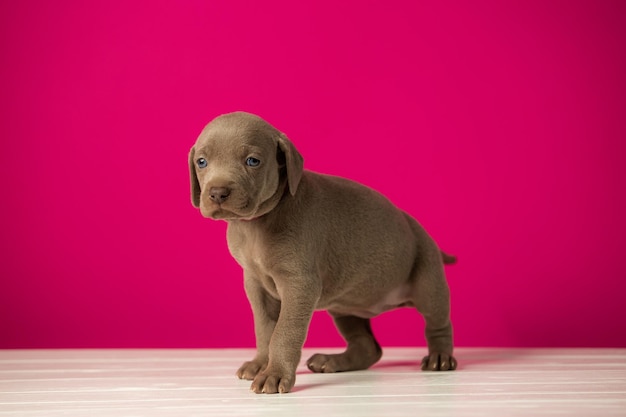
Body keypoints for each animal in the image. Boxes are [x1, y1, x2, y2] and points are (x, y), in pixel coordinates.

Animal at [188, 110, 456, 394]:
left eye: (253, 161)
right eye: (202, 162)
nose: (217, 193)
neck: (257, 225)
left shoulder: (299, 284)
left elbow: (284, 331)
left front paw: (275, 374)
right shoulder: (255, 284)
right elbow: (263, 328)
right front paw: (260, 363)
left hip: (428, 282)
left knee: (438, 324)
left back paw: (440, 357)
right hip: (345, 306)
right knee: (368, 346)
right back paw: (332, 361)